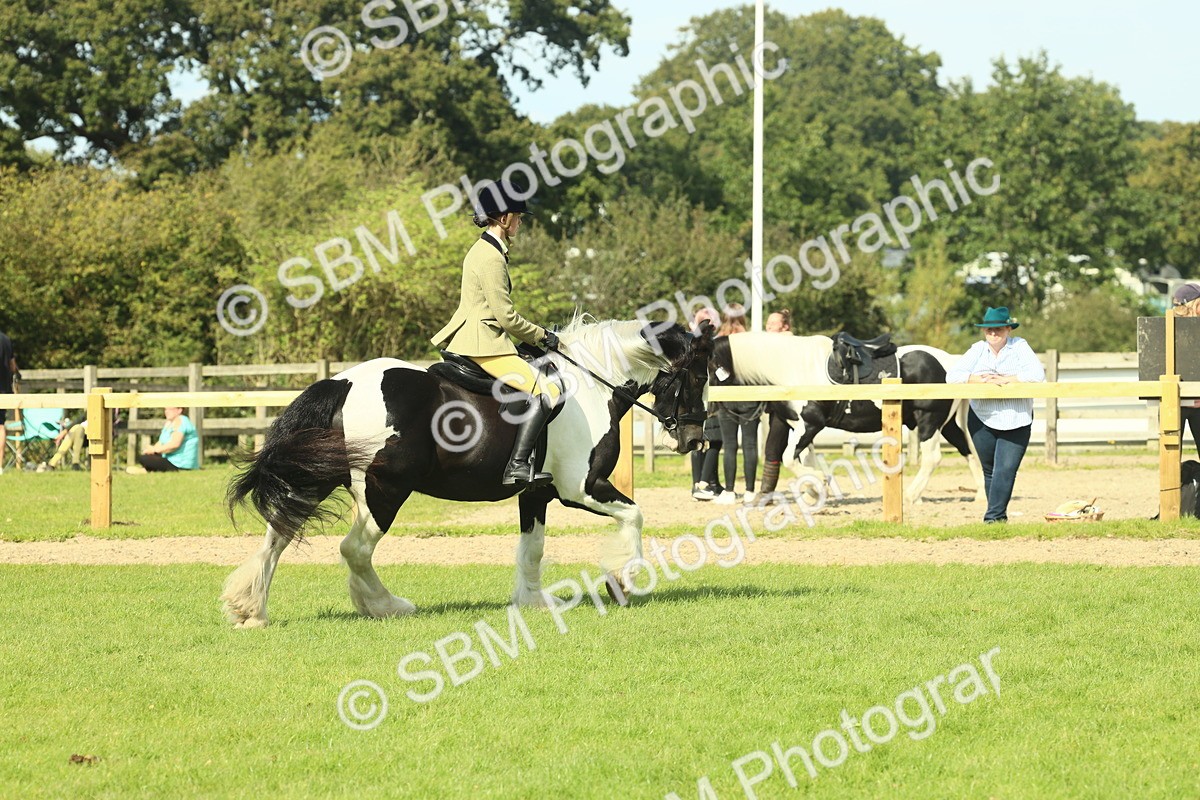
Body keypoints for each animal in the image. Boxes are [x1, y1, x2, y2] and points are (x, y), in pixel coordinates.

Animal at [221, 318, 715, 628]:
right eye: (697, 376)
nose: (695, 439)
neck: (591, 387)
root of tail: (342, 383)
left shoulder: (536, 494)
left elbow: (532, 549)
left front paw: (533, 601)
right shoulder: (582, 488)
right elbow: (635, 516)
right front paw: (625, 580)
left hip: (316, 479)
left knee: (278, 535)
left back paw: (250, 610)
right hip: (384, 491)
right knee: (354, 549)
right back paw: (386, 606)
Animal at [709, 332, 984, 504]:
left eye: (708, 365)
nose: (710, 408)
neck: (793, 368)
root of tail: (952, 362)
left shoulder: (810, 424)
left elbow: (789, 458)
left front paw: (819, 483)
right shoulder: (801, 428)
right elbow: (804, 459)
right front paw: (814, 490)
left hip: (929, 420)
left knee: (932, 458)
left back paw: (911, 495)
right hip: (946, 423)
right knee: (968, 450)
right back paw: (981, 495)